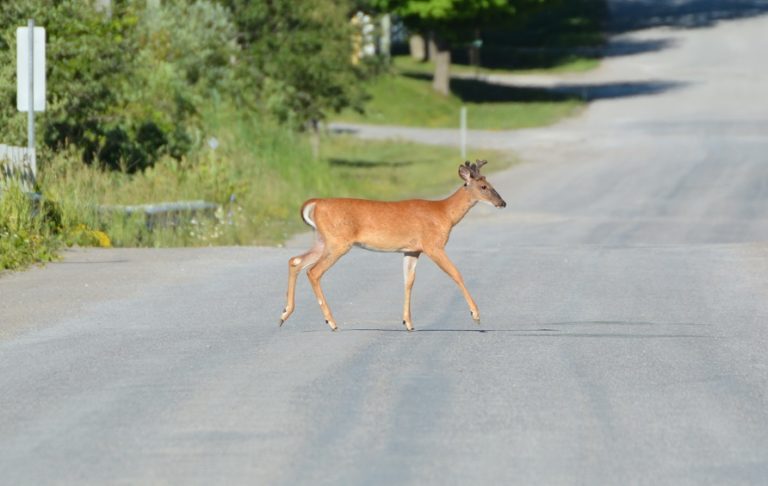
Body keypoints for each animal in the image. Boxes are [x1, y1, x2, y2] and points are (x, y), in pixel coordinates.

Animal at [280, 159, 508, 330]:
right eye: (484, 186)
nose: (502, 203)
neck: (444, 214)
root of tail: (315, 203)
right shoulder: (433, 245)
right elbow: (456, 273)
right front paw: (476, 315)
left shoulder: (412, 250)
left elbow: (408, 282)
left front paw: (408, 322)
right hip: (338, 242)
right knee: (313, 271)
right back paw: (331, 322)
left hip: (322, 240)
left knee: (295, 260)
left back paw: (284, 314)